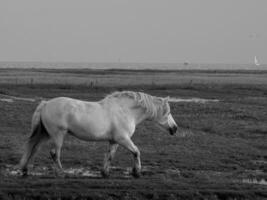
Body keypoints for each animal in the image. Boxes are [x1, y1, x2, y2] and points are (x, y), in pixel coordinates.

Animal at [18, 91, 178, 177]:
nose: (175, 128)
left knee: (34, 149)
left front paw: (105, 172)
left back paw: (26, 169)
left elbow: (110, 156)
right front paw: (136, 172)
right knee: (54, 153)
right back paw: (62, 172)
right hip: (58, 135)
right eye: (168, 112)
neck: (125, 111)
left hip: (44, 134)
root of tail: (46, 104)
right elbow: (136, 152)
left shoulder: (114, 141)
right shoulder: (123, 139)